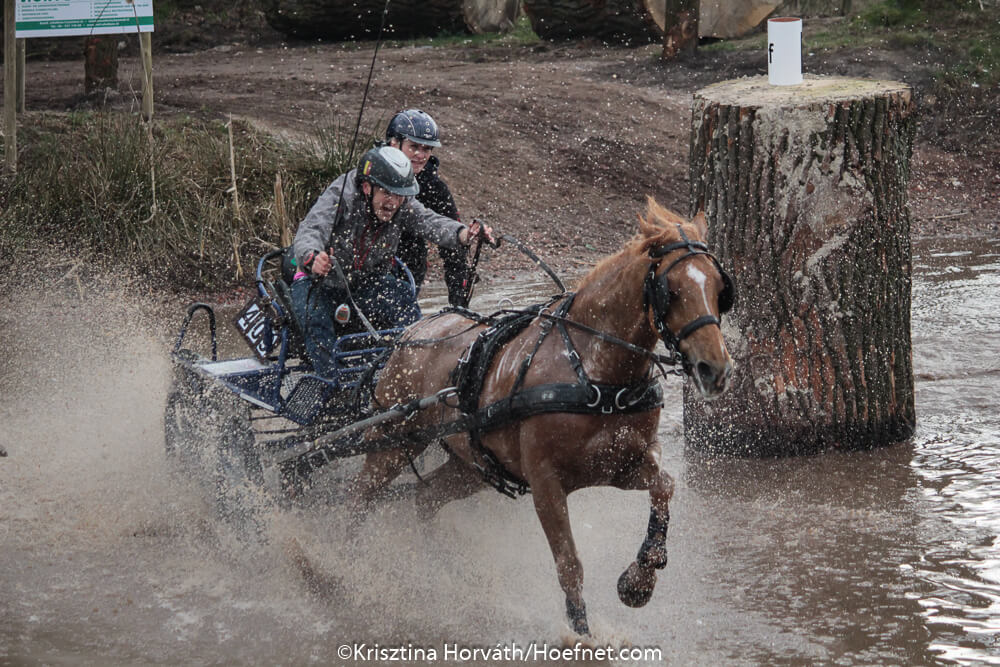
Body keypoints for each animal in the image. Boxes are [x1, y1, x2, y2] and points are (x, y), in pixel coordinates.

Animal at [348, 197, 735, 635]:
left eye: (719, 289)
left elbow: (665, 487)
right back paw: (339, 565)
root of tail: (410, 333)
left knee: (426, 496)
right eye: (673, 291)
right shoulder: (546, 483)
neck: (591, 369)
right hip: (394, 441)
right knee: (359, 497)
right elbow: (569, 565)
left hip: (473, 466)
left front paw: (639, 579)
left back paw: (444, 569)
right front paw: (581, 635)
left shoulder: (620, 464)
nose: (715, 369)